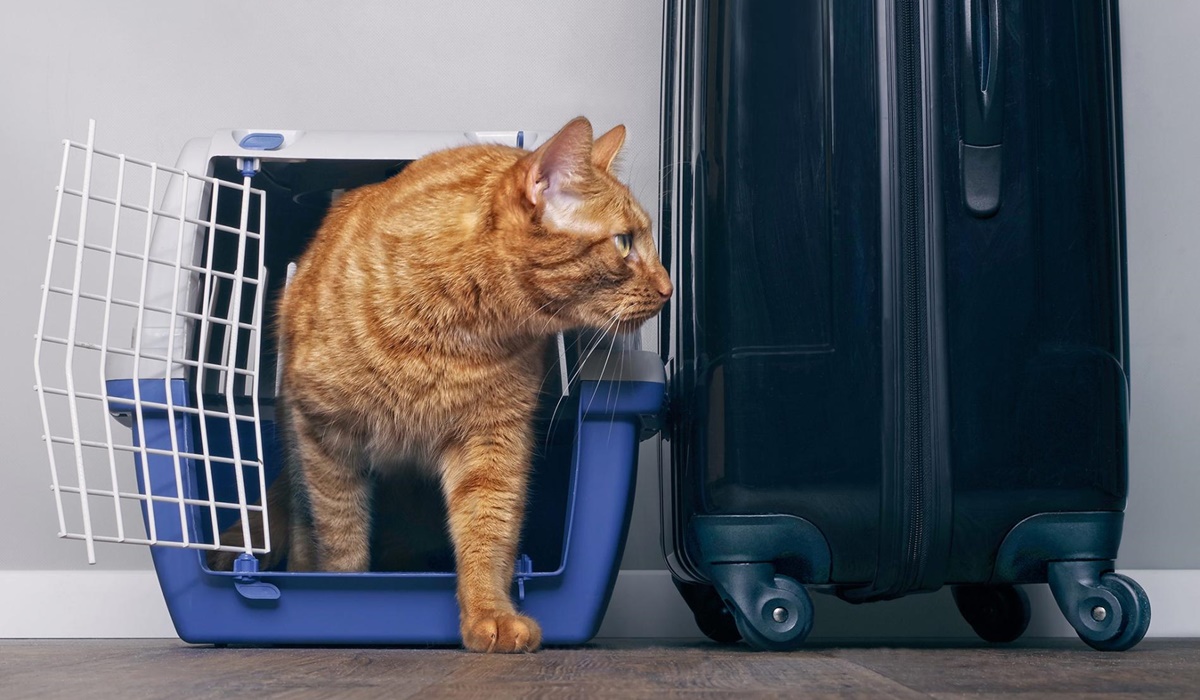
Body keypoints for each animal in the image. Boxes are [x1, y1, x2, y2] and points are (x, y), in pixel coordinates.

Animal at [210, 117, 672, 653]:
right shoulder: (324, 437)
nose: (670, 288)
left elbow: (487, 532)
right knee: (299, 512)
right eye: (624, 243)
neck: (454, 327)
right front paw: (343, 595)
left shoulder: (492, 442)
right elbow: (340, 539)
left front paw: (490, 614)